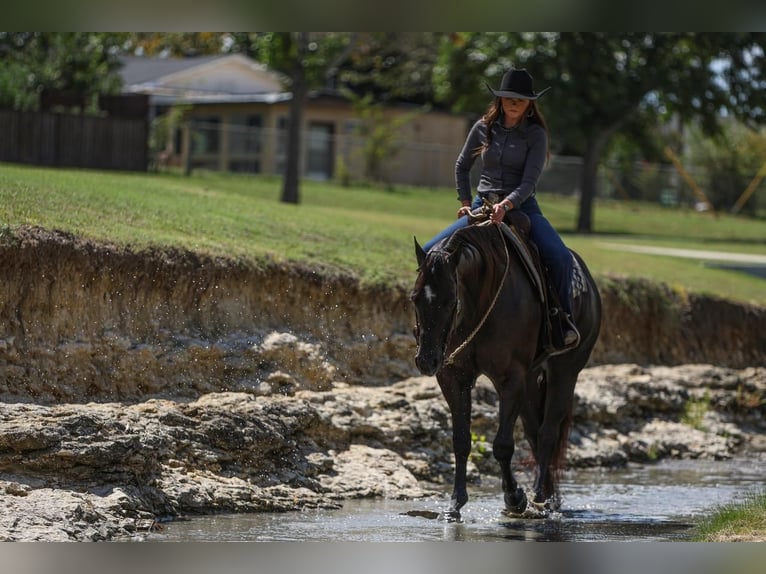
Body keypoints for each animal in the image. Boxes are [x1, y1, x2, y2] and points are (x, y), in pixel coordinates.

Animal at [414, 219, 600, 520]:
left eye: (451, 301)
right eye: (414, 298)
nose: (426, 360)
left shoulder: (511, 380)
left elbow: (502, 445)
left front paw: (515, 498)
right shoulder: (453, 377)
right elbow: (461, 440)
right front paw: (455, 504)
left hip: (565, 372)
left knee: (548, 433)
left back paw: (539, 497)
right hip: (533, 382)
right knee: (535, 432)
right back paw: (549, 497)